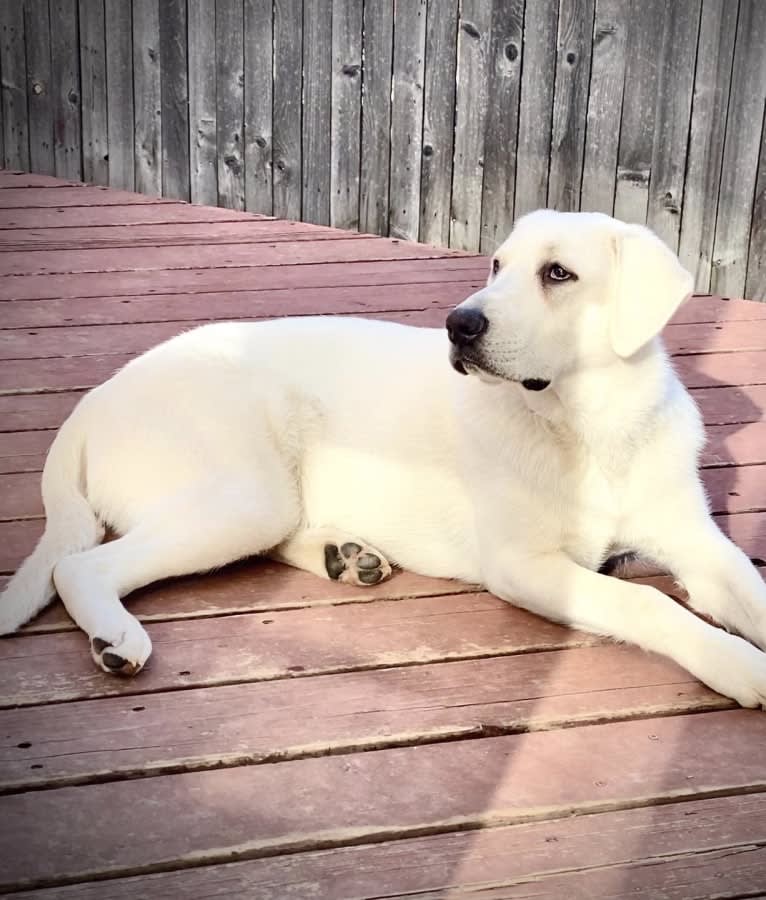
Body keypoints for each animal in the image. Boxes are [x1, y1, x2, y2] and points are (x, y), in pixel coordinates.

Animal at [1, 213, 766, 712]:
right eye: (496, 265)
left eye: (559, 274)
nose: (459, 324)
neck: (590, 430)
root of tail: (90, 403)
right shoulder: (524, 565)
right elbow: (646, 601)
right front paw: (737, 665)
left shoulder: (699, 543)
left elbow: (749, 591)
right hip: (246, 495)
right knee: (79, 566)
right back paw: (115, 636)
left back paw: (345, 555)